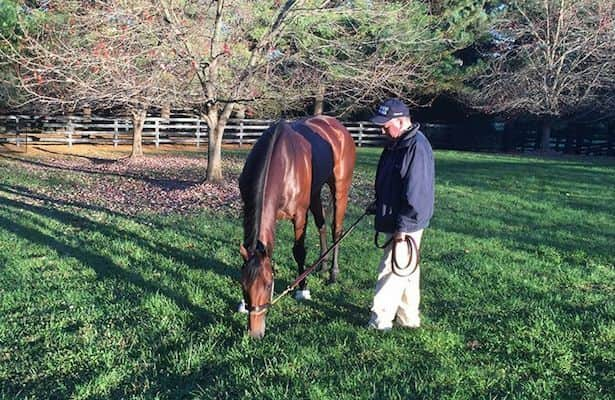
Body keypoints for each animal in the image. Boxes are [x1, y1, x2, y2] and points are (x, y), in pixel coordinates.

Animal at [239, 115, 356, 338]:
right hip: (315, 193)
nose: (255, 333)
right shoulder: (247, 211)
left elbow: (299, 251)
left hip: (340, 189)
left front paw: (303, 289)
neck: (283, 162)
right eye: (243, 285)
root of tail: (337, 126)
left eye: (269, 284)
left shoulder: (300, 215)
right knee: (322, 225)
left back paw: (332, 274)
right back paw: (322, 266)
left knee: (336, 230)